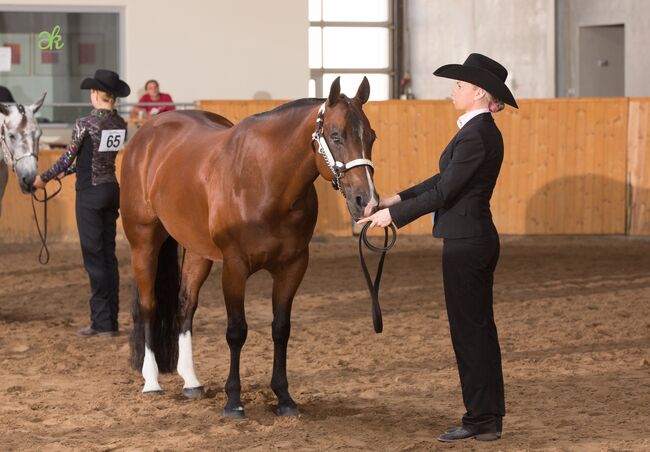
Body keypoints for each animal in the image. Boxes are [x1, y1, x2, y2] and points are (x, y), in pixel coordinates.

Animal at [120, 77, 380, 416]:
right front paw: (233, 401)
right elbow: (236, 331)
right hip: (144, 242)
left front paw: (284, 398)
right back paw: (151, 381)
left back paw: (191, 381)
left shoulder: (293, 266)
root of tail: (147, 132)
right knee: (149, 306)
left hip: (197, 251)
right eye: (336, 136)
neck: (266, 180)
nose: (368, 201)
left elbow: (281, 328)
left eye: (371, 136)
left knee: (185, 304)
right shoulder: (235, 266)